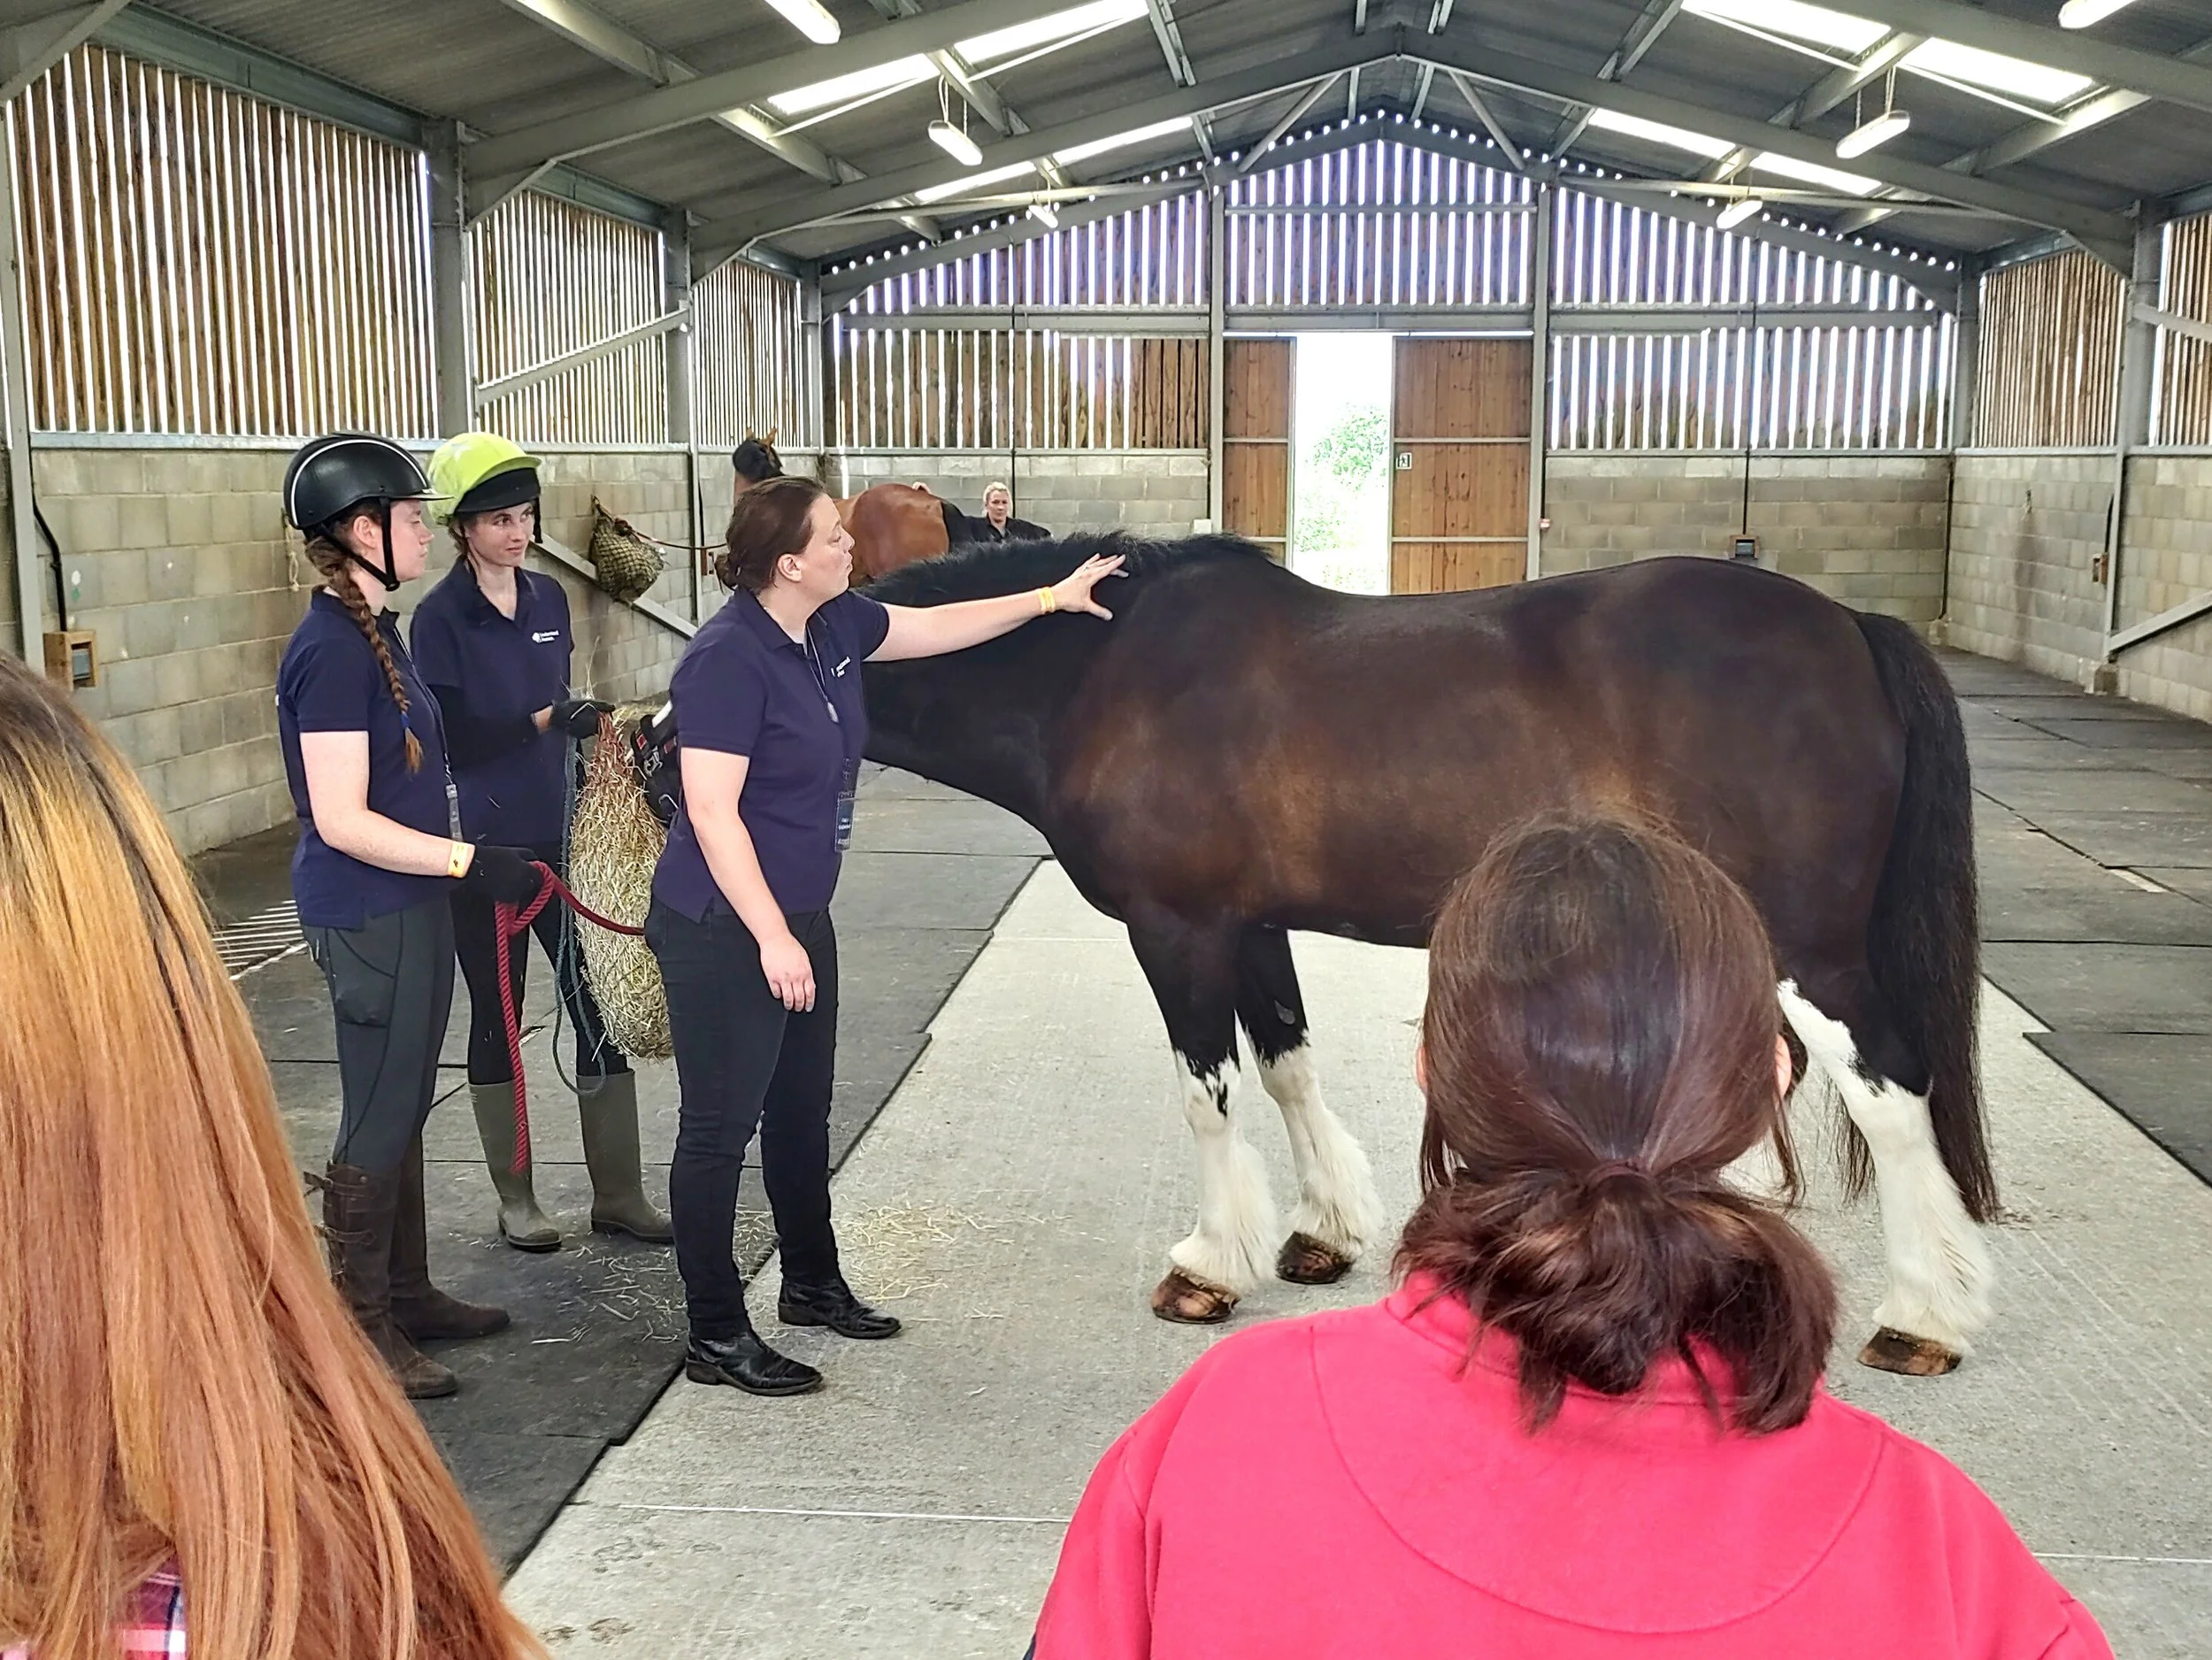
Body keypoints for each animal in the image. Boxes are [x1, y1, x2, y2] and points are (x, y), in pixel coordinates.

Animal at [861, 535, 1996, 1378]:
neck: (1100, 673)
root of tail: (1847, 627)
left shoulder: (1177, 927)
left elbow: (1208, 1093)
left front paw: (1209, 1266)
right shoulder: (1252, 926)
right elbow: (1288, 1065)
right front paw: (1321, 1232)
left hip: (1811, 950)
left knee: (1894, 1095)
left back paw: (1921, 1316)